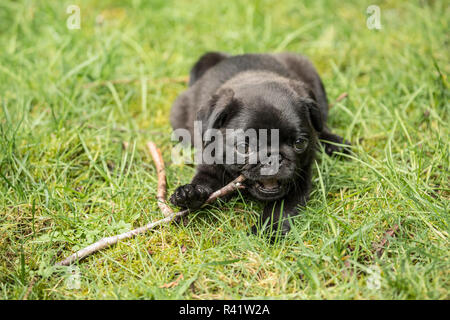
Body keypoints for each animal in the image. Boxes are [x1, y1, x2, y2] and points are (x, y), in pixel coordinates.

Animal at [169, 52, 348, 236]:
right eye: (243, 147)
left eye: (299, 143)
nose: (273, 158)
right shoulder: (210, 168)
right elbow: (204, 183)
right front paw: (190, 194)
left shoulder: (299, 181)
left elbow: (278, 210)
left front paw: (266, 231)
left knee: (322, 123)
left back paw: (334, 144)